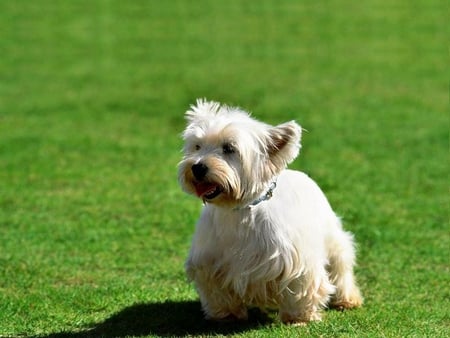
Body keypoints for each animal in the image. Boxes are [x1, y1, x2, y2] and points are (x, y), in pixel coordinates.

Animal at [177, 99, 362, 324]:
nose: (197, 167)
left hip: (333, 238)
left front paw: (298, 318)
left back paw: (347, 299)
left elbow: (299, 289)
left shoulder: (295, 262)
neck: (239, 210)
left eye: (229, 148)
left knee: (341, 268)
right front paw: (226, 314)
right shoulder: (210, 262)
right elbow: (217, 291)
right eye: (197, 145)